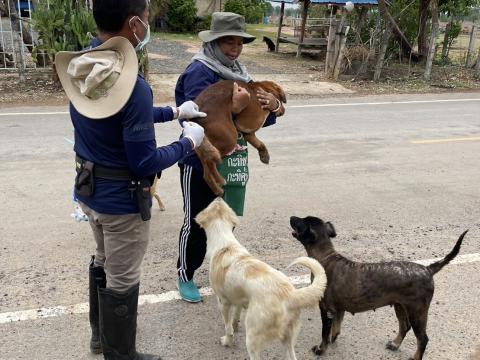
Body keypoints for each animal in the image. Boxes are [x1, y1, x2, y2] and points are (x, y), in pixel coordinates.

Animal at [194, 198, 326, 358]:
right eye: (222, 204)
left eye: (211, 204)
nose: (219, 197)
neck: (225, 243)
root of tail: (291, 294)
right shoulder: (238, 298)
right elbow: (235, 317)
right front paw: (235, 325)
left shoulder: (223, 302)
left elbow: (228, 327)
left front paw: (227, 341)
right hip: (288, 338)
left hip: (252, 338)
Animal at [288, 217, 468, 360]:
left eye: (300, 221)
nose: (291, 217)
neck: (325, 258)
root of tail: (428, 269)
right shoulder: (338, 309)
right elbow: (336, 329)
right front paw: (334, 339)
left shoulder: (326, 309)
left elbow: (325, 334)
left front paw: (321, 349)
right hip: (400, 306)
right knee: (404, 327)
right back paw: (395, 344)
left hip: (417, 311)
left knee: (423, 339)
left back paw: (415, 357)